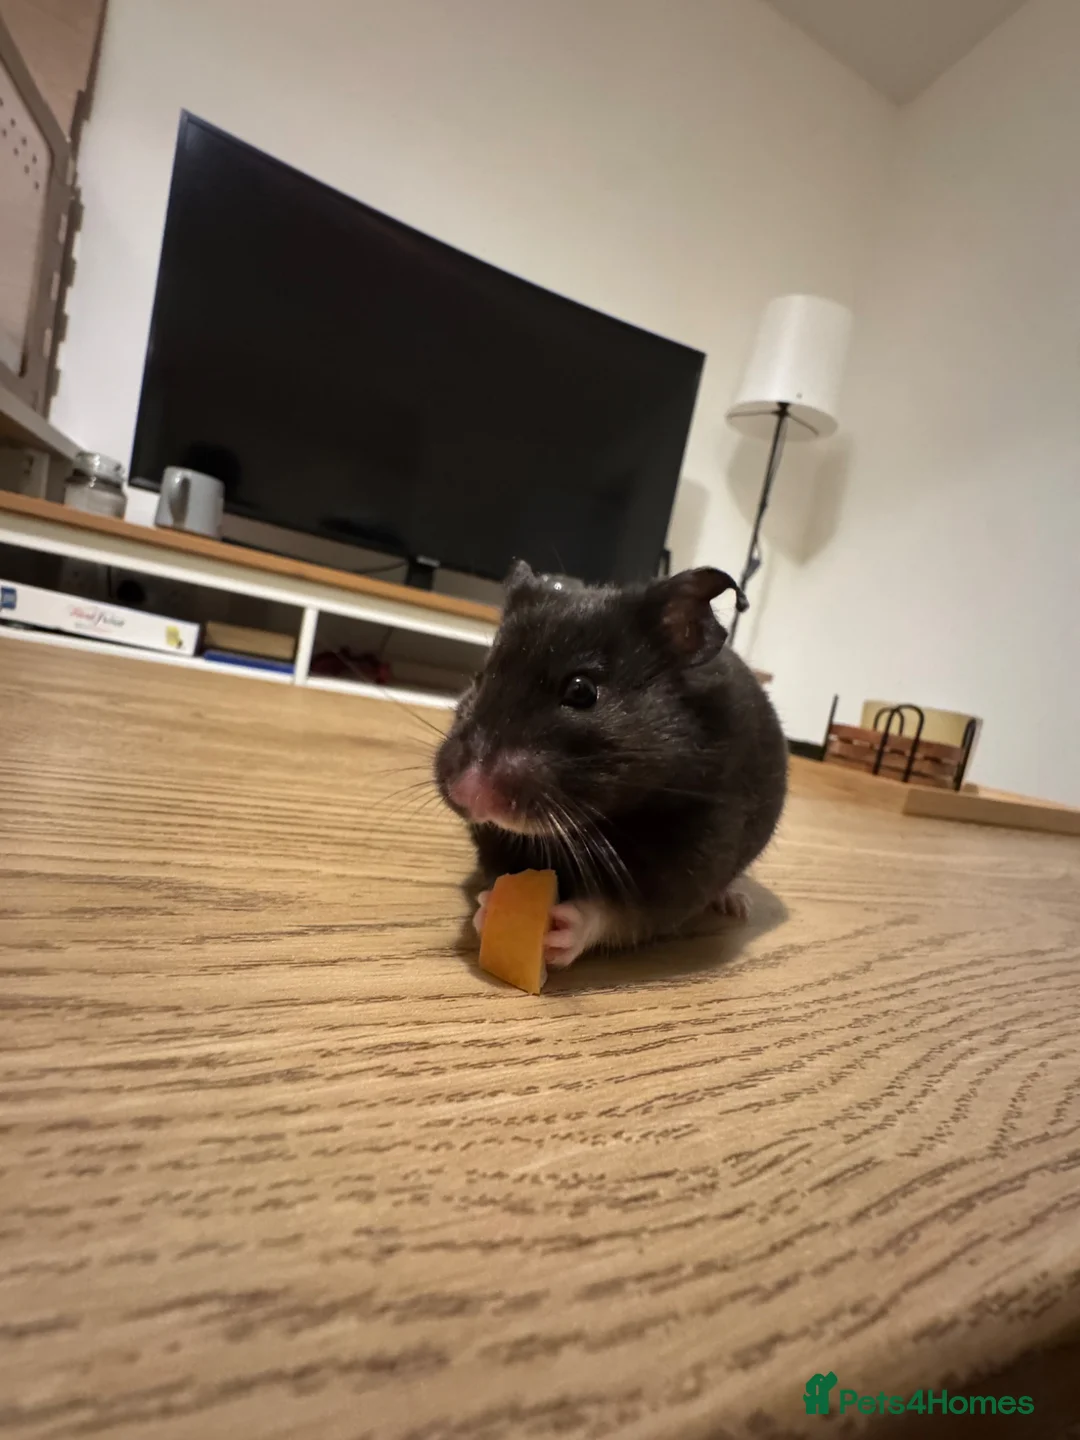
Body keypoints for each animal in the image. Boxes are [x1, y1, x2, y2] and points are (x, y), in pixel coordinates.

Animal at [434, 561, 787, 969]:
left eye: (581, 690)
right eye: (479, 678)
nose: (467, 791)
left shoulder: (690, 861)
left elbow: (620, 913)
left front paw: (562, 929)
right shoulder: (495, 840)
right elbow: (498, 876)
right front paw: (486, 910)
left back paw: (736, 904)